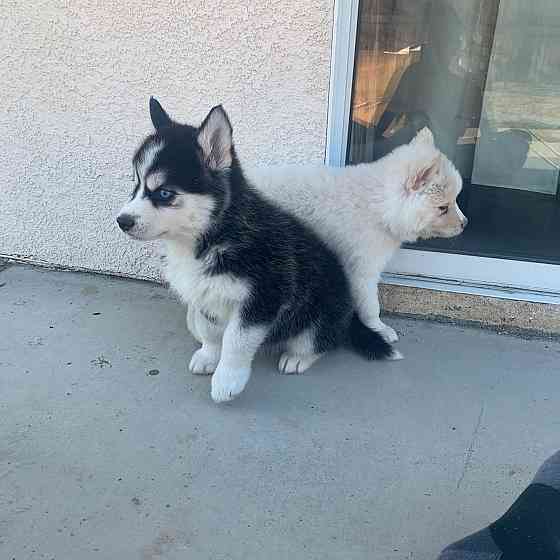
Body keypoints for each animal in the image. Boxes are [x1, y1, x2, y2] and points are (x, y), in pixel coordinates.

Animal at [117, 97, 398, 402]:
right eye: (136, 184)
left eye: (164, 193)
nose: (121, 221)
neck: (213, 236)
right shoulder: (204, 293)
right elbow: (210, 330)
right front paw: (208, 355)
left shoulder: (263, 296)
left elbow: (235, 340)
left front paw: (227, 380)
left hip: (322, 309)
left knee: (322, 339)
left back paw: (298, 357)